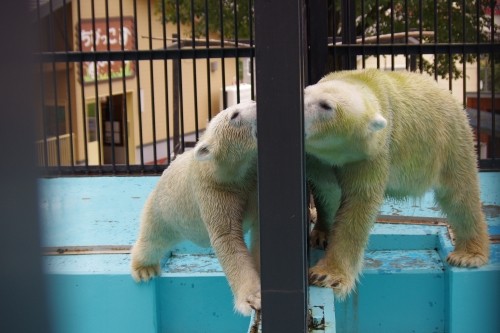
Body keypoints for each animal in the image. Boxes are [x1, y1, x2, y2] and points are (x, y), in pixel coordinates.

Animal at [129, 100, 262, 314]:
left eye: (250, 102)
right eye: (234, 115)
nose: (256, 102)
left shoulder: (252, 182)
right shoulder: (214, 191)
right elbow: (227, 238)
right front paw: (253, 298)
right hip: (162, 211)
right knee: (152, 239)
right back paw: (144, 269)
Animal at [302, 69, 490, 298]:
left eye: (326, 105)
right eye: (305, 91)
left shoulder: (372, 154)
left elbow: (357, 206)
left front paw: (325, 275)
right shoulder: (319, 160)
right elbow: (326, 192)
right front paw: (321, 235)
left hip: (451, 140)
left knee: (460, 194)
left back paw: (468, 255)